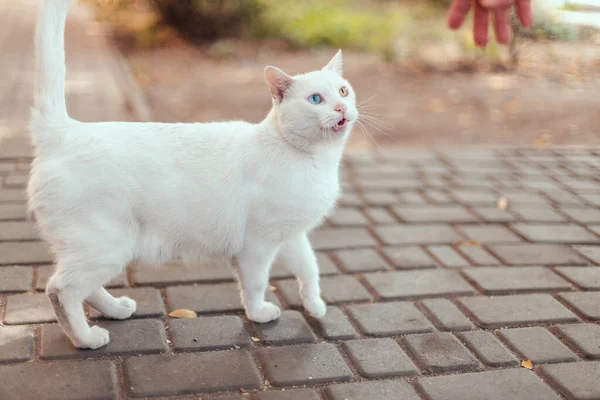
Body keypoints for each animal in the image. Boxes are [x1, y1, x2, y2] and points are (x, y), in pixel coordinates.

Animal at [28, 0, 356, 350]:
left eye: (343, 91)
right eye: (315, 99)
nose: (340, 108)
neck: (316, 161)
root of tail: (65, 131)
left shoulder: (293, 235)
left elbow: (310, 269)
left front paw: (315, 305)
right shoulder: (257, 246)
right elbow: (255, 285)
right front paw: (259, 314)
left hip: (101, 250)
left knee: (84, 288)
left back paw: (115, 310)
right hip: (105, 247)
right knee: (61, 290)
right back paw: (86, 338)